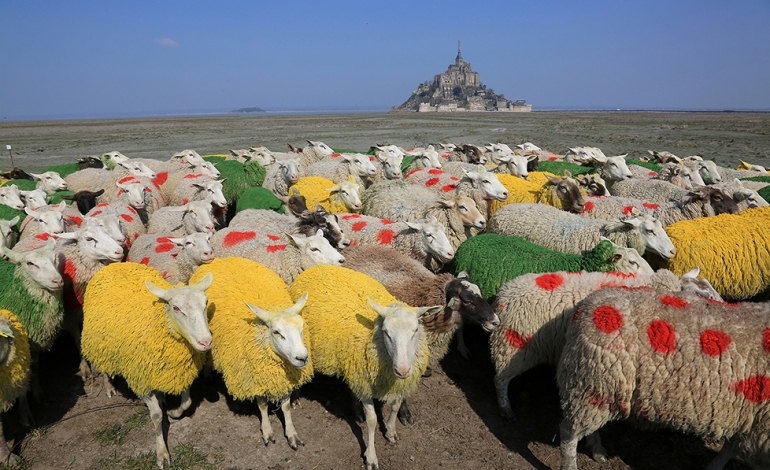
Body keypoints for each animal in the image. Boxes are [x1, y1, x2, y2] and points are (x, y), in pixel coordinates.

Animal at [82, 263, 213, 468]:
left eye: (205, 303)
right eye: (176, 308)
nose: (205, 342)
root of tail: (115, 264)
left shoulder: (181, 372)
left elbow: (187, 402)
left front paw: (174, 412)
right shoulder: (140, 381)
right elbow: (157, 417)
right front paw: (162, 453)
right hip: (100, 345)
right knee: (103, 366)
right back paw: (109, 386)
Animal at [189, 258, 312, 449]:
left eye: (302, 327)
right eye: (277, 332)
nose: (302, 358)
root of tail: (219, 259)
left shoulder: (283, 376)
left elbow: (285, 406)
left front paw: (291, 433)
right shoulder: (254, 376)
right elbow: (262, 405)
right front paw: (267, 431)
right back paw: (208, 373)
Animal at [288, 265, 442, 470]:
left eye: (416, 330)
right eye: (386, 332)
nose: (402, 370)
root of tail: (315, 267)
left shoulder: (395, 383)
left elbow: (395, 406)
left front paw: (391, 431)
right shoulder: (366, 383)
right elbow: (372, 421)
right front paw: (371, 456)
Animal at [557, 286, 770, 470]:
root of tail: (584, 307)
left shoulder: (749, 419)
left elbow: (730, 449)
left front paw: (713, 467)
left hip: (597, 388)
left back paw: (598, 451)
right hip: (593, 380)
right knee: (568, 435)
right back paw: (570, 465)